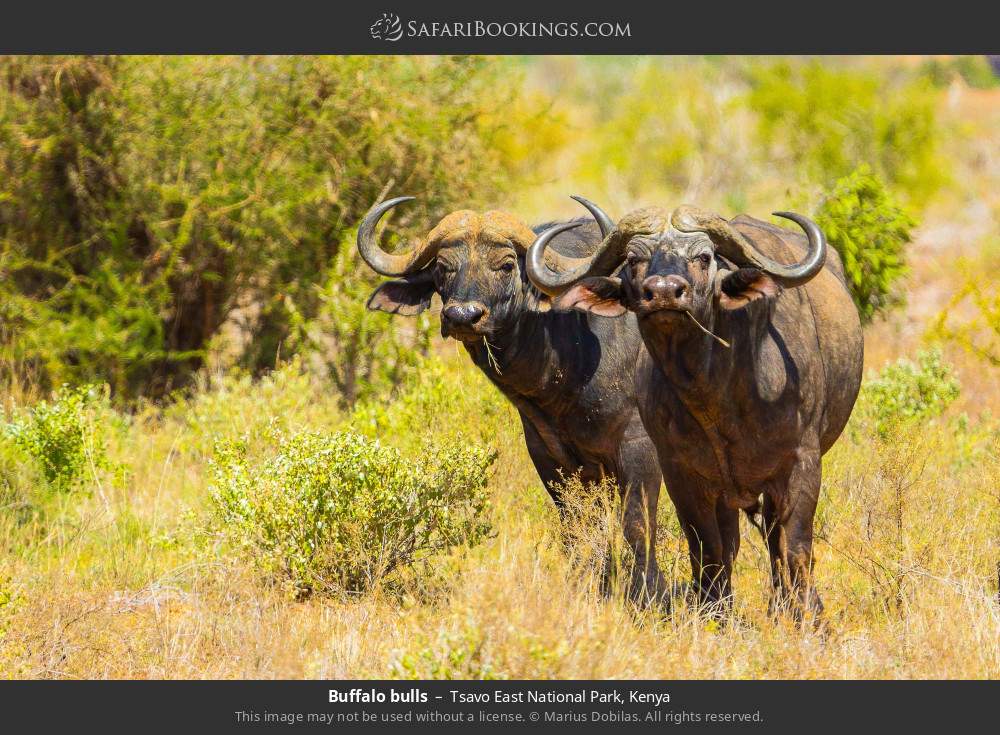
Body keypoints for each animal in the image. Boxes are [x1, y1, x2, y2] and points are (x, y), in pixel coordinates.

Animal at [356, 196, 668, 604]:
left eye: (505, 265)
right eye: (442, 267)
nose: (462, 316)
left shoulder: (639, 448)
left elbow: (636, 526)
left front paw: (650, 596)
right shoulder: (551, 458)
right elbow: (578, 529)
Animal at [532, 198, 868, 620]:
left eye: (704, 257)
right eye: (634, 258)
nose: (663, 292)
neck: (717, 400)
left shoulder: (802, 464)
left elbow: (796, 548)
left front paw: (807, 615)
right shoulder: (683, 475)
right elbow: (709, 551)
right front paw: (714, 613)